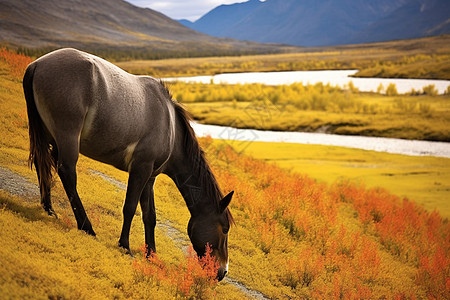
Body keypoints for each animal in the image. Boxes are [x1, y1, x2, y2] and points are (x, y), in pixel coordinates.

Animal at [22, 47, 234, 282]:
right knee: (67, 173)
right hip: (67, 139)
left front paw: (152, 255)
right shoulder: (140, 169)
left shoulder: (150, 176)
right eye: (224, 229)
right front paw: (125, 245)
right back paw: (86, 227)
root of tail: (37, 65)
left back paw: (49, 208)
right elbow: (130, 207)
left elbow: (150, 216)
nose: (222, 272)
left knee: (43, 164)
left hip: (48, 137)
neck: (171, 127)